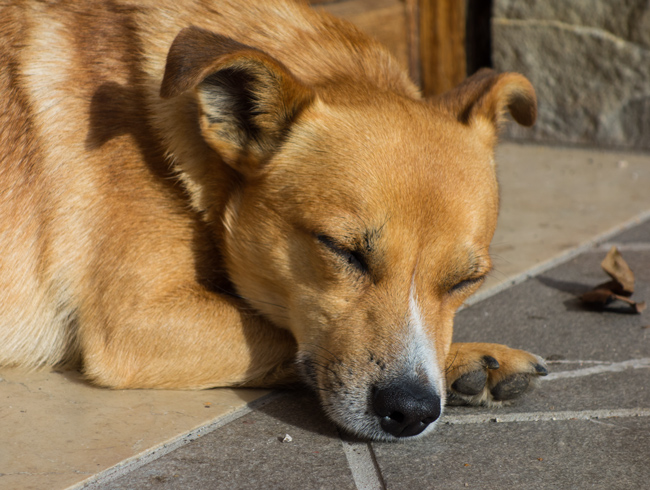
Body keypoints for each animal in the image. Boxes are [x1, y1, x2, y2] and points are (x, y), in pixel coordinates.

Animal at [0, 0, 544, 440]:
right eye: (341, 250)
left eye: (466, 282)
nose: (411, 411)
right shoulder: (137, 320)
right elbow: (272, 328)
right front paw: (463, 359)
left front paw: (469, 361)